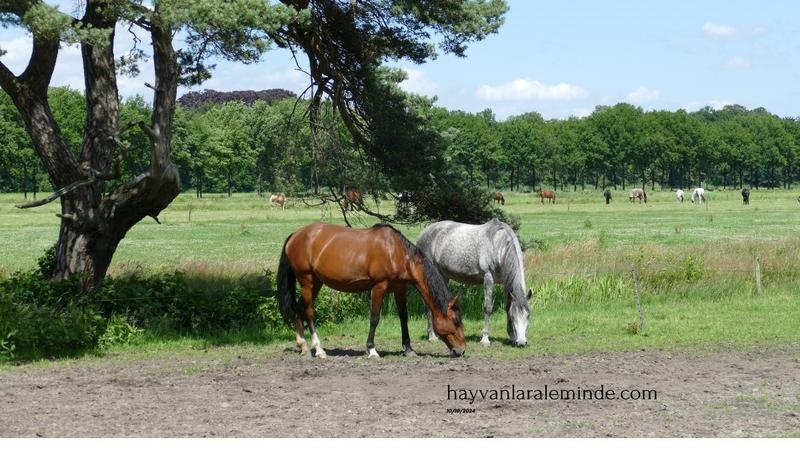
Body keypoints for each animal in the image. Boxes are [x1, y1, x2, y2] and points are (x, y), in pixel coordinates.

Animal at [276, 222, 466, 358]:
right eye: (455, 321)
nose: (462, 350)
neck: (395, 252)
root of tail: (295, 235)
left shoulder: (399, 287)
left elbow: (403, 316)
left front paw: (408, 348)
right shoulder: (378, 287)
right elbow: (374, 318)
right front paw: (372, 350)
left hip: (316, 282)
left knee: (299, 308)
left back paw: (303, 346)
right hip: (306, 281)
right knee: (308, 312)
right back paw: (319, 349)